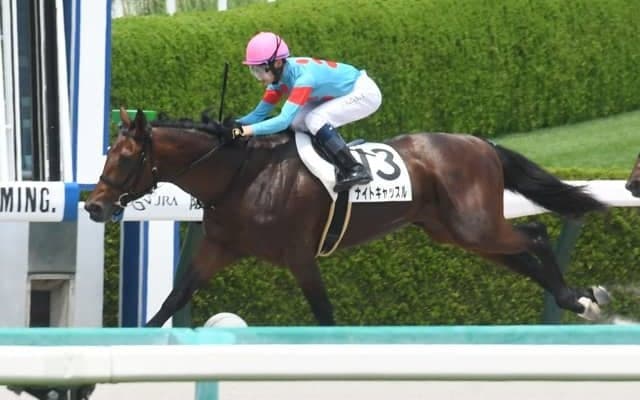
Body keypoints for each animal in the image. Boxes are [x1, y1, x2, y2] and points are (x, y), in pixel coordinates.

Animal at [85, 108, 611, 327]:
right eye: (108, 152)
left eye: (125, 157)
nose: (93, 205)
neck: (242, 175)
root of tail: (481, 143)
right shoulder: (217, 248)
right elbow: (172, 302)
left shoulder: (300, 257)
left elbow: (323, 313)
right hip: (454, 231)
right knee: (523, 252)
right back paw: (578, 300)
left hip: (473, 223)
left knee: (535, 234)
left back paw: (580, 298)